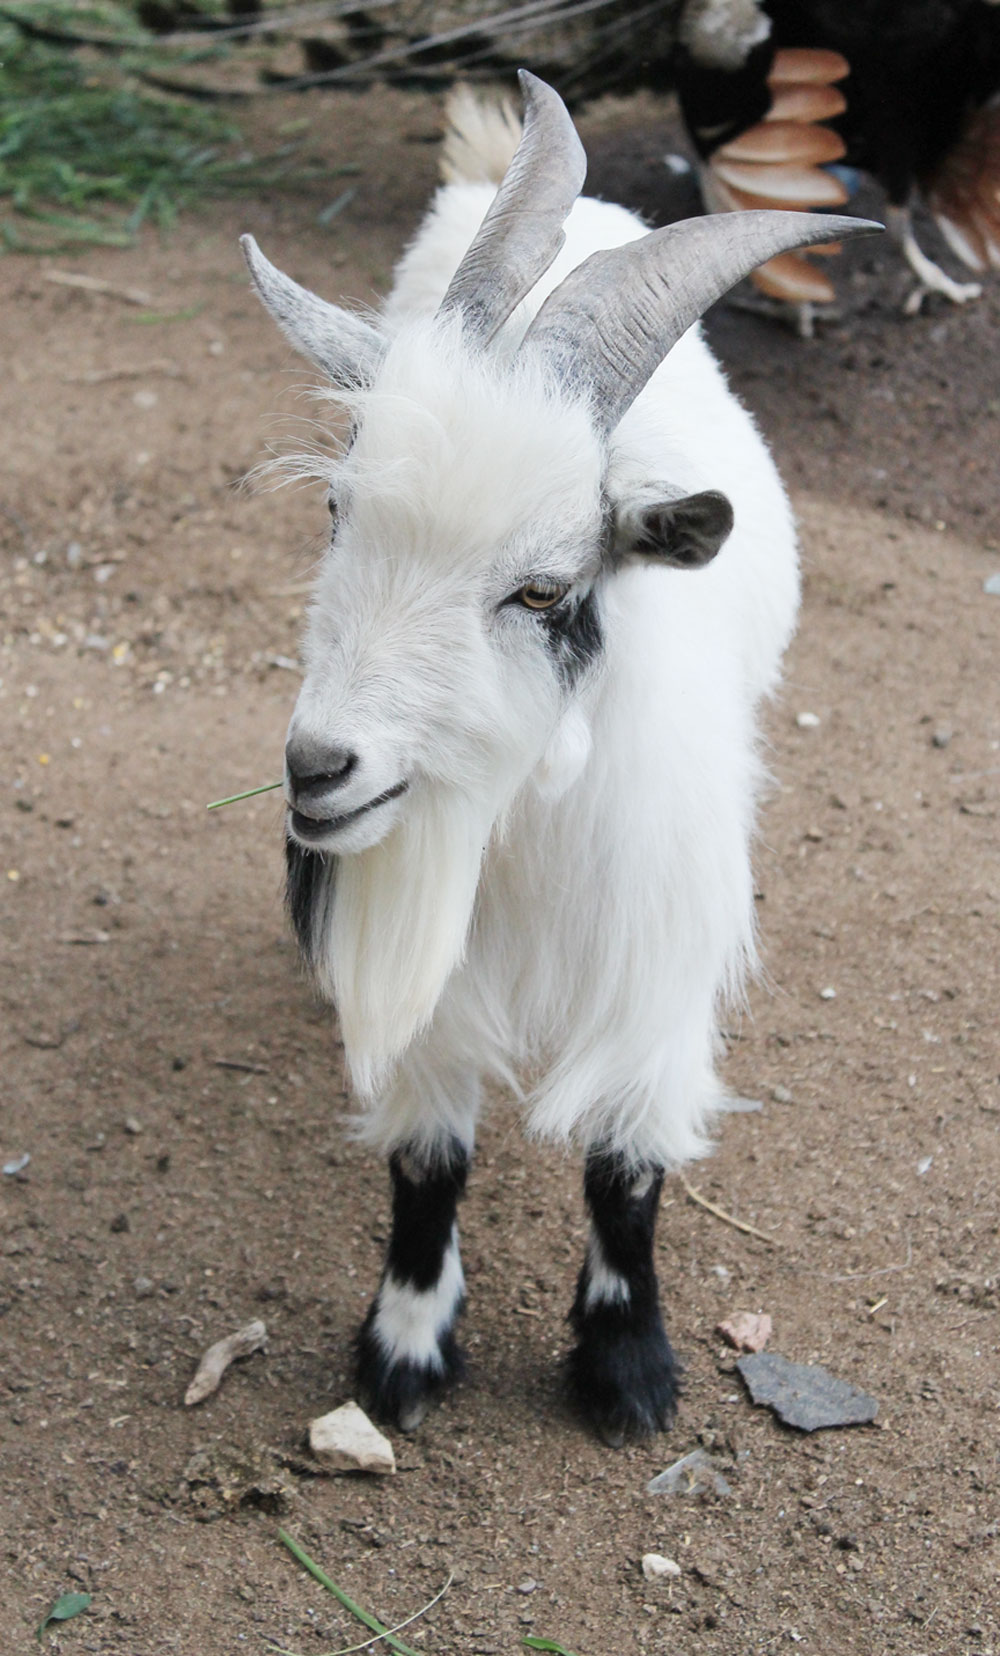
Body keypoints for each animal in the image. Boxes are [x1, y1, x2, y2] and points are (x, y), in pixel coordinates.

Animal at [241, 77, 874, 1444]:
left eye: (541, 591)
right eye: (338, 512)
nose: (319, 768)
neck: (522, 821)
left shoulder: (659, 956)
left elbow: (624, 1168)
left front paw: (627, 1368)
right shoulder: (435, 973)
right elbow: (428, 1158)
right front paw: (404, 1350)